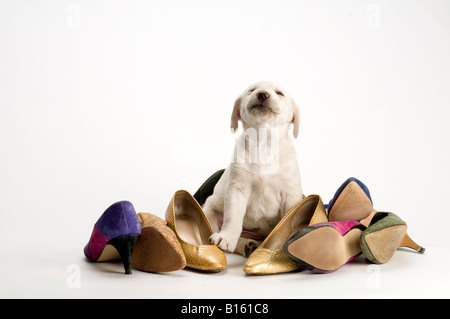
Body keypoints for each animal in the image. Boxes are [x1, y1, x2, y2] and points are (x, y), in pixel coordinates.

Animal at [203, 80, 302, 258]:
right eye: (252, 90)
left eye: (280, 93)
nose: (263, 94)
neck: (264, 144)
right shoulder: (238, 188)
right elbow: (233, 217)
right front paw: (227, 238)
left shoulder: (290, 194)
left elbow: (287, 222)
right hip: (210, 210)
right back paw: (243, 244)